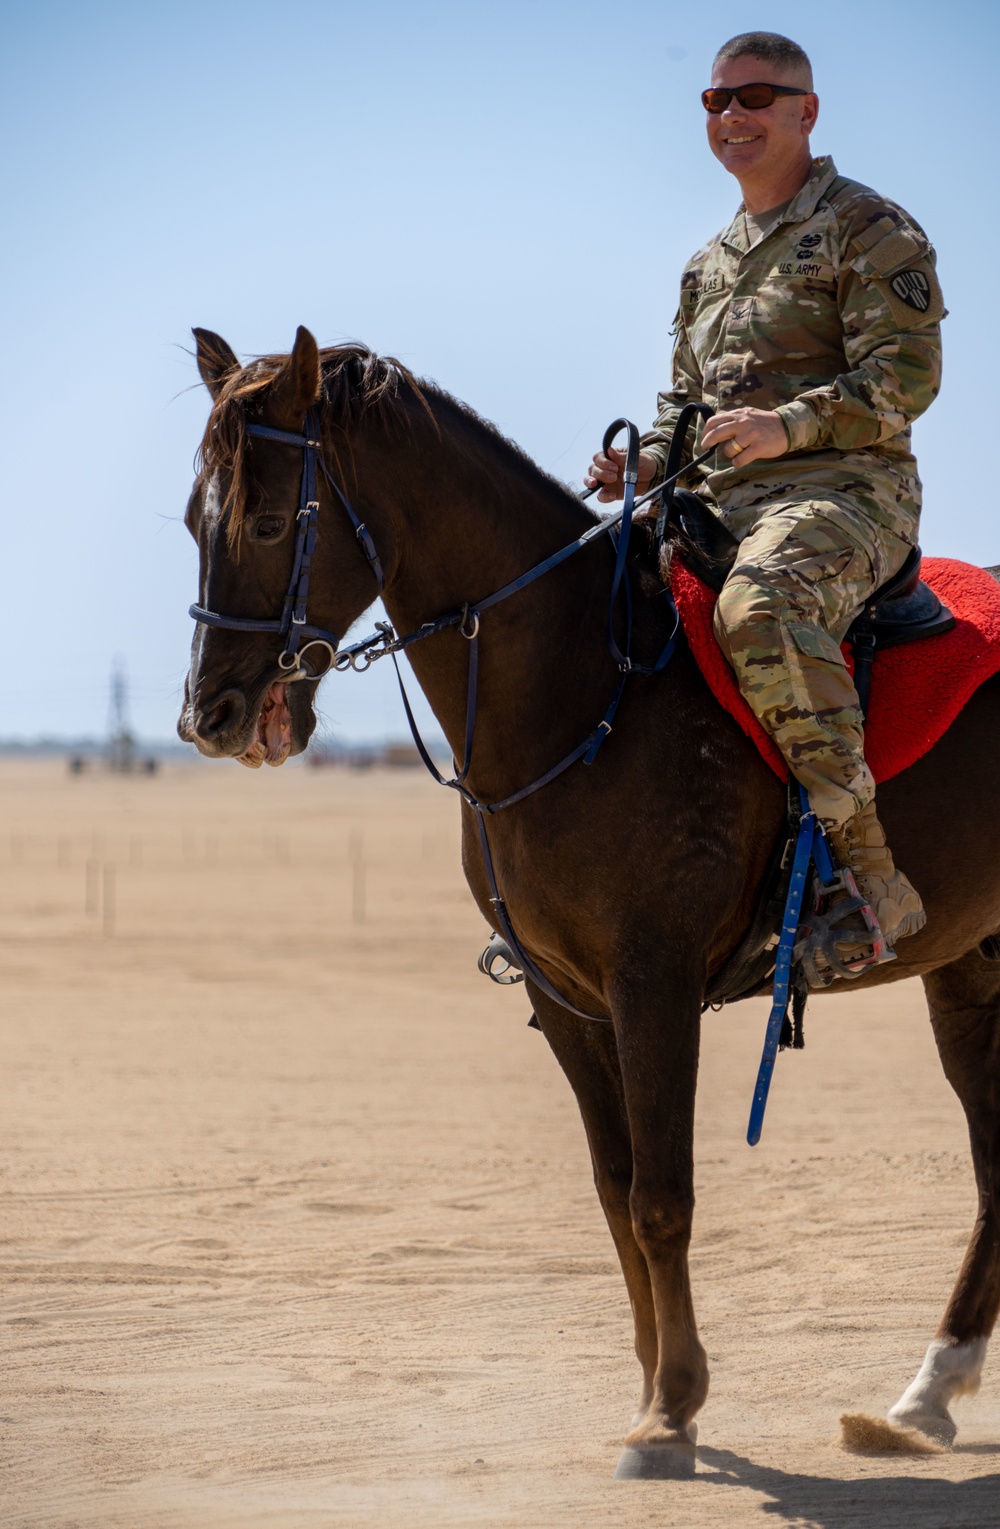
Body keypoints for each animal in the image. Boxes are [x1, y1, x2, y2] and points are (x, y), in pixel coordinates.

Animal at [176, 322, 1000, 1467]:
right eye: (191, 520)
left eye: (262, 520)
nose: (208, 714)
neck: (578, 688)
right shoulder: (564, 996)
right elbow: (616, 1195)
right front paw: (655, 1386)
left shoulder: (653, 985)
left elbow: (661, 1196)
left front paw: (671, 1412)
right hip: (968, 965)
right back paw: (925, 1394)